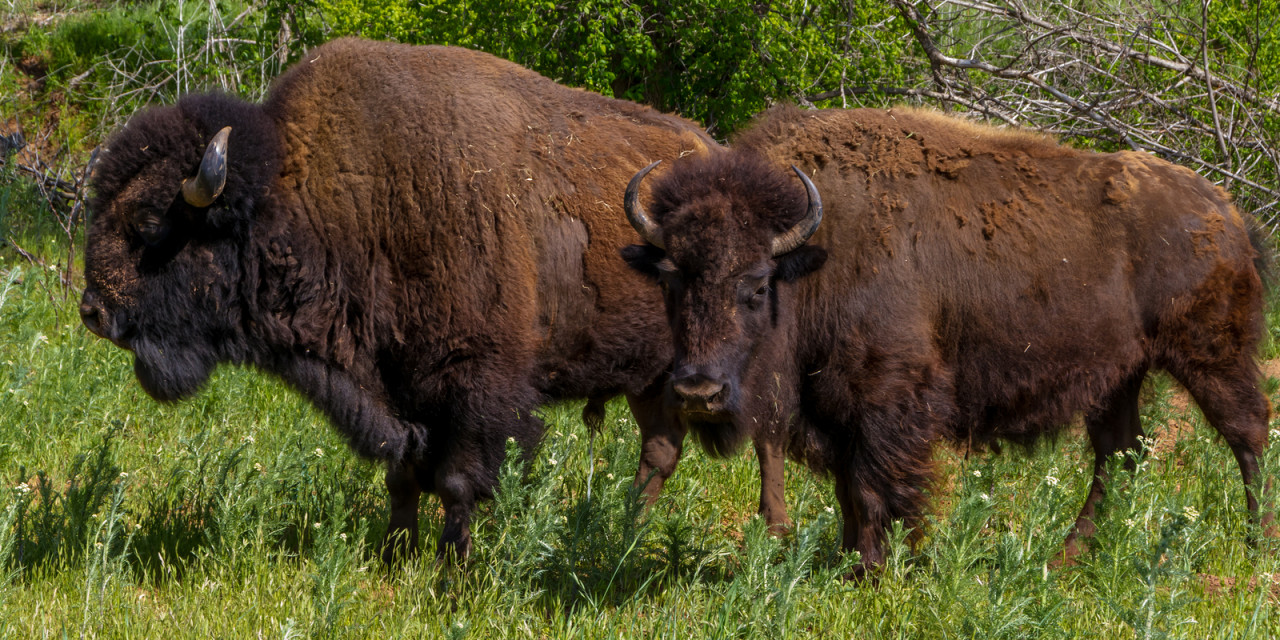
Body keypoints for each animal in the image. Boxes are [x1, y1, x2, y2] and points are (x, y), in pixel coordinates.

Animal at [80, 37, 788, 563]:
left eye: (149, 224)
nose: (93, 311)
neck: (319, 198)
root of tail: (719, 151)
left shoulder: (474, 387)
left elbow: (458, 477)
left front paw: (454, 569)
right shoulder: (396, 388)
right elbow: (402, 471)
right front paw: (397, 554)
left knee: (753, 435)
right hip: (652, 376)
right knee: (661, 449)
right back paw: (621, 528)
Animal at [622, 106, 1269, 576]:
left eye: (757, 285)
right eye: (671, 279)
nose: (698, 392)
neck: (814, 255)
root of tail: (1229, 211)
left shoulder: (889, 397)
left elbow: (876, 484)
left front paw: (877, 570)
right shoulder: (833, 409)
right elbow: (849, 488)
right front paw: (849, 563)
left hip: (1213, 355)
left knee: (1248, 432)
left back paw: (1256, 545)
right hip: (1117, 378)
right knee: (1120, 452)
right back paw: (1067, 557)